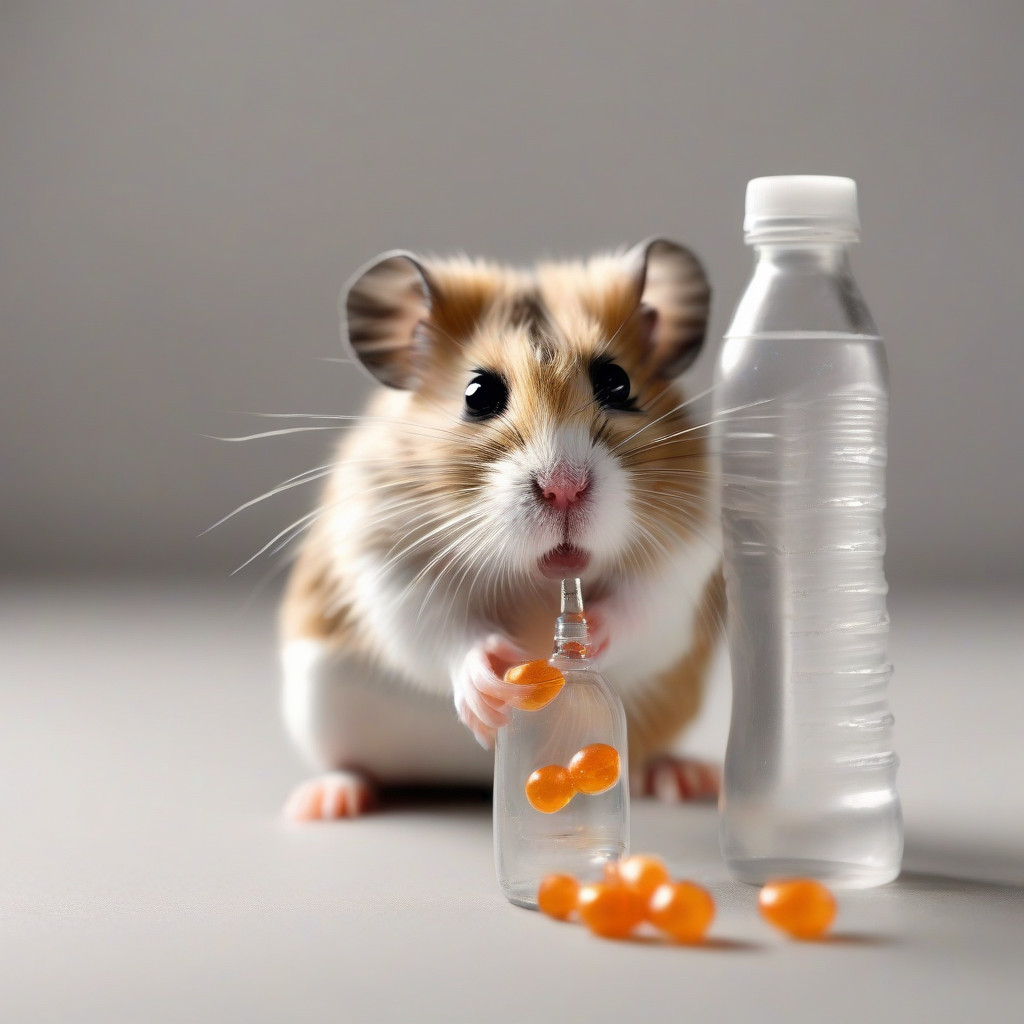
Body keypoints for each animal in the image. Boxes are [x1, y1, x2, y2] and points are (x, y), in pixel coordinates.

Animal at [279, 239, 724, 820]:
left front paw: (589, 635)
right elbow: (438, 628)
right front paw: (491, 689)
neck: (534, 581)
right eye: (477, 393)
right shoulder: (379, 555)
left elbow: (646, 605)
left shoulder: (690, 553)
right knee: (354, 765)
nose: (564, 488)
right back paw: (325, 801)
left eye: (617, 382)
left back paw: (685, 778)